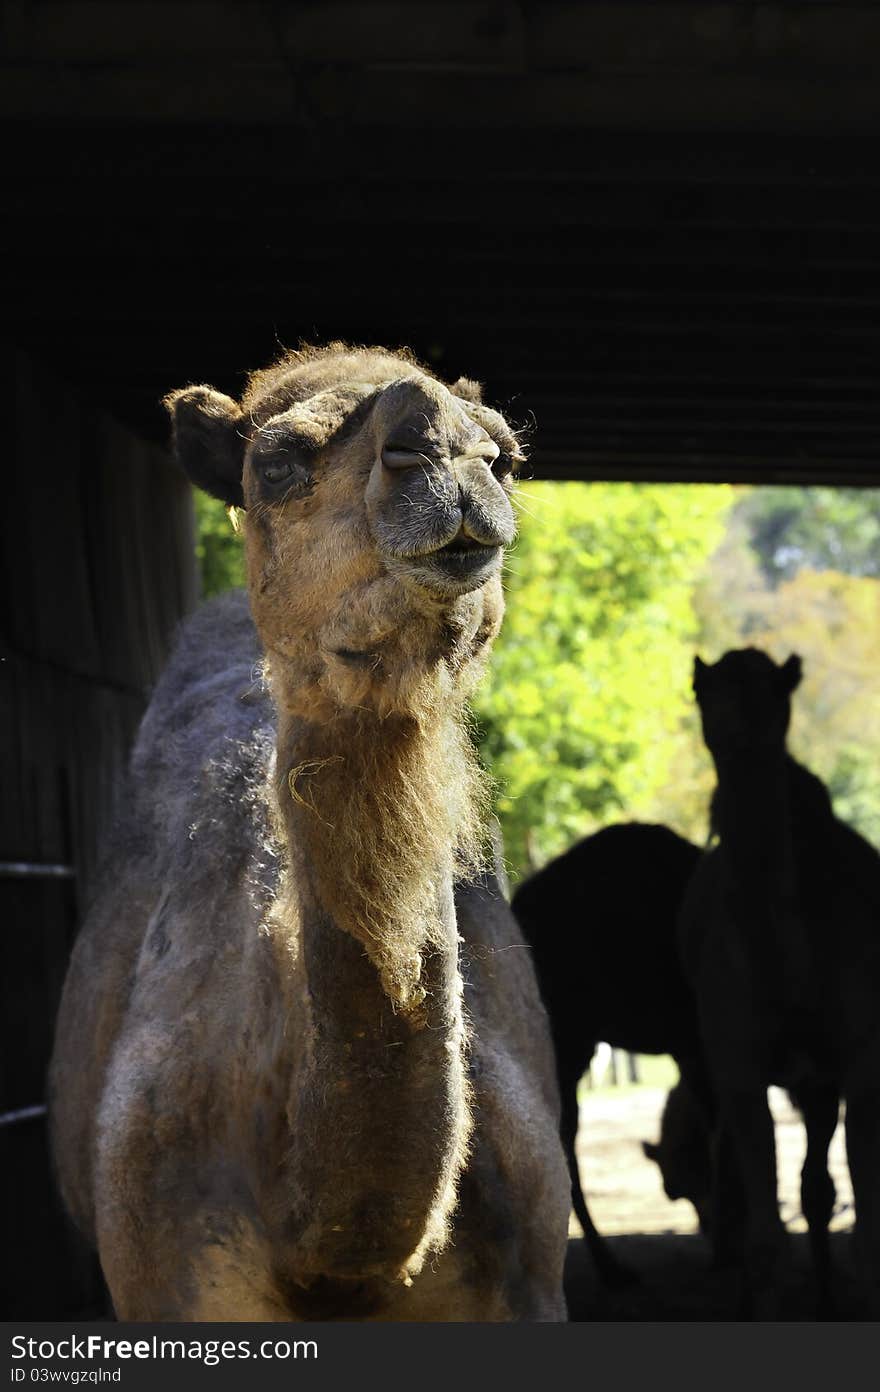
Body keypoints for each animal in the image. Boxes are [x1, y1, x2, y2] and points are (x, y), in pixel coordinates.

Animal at [49, 342, 570, 1319]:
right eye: (278, 462)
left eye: (508, 456)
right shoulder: (165, 1276)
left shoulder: (529, 1282)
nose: (443, 448)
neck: (336, 1259)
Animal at [679, 643, 880, 1314]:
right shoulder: (739, 1068)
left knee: (817, 1187)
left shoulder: (858, 1062)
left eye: (779, 690)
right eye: (704, 691)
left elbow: (865, 1232)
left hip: (817, 1081)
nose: (736, 729)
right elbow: (766, 1237)